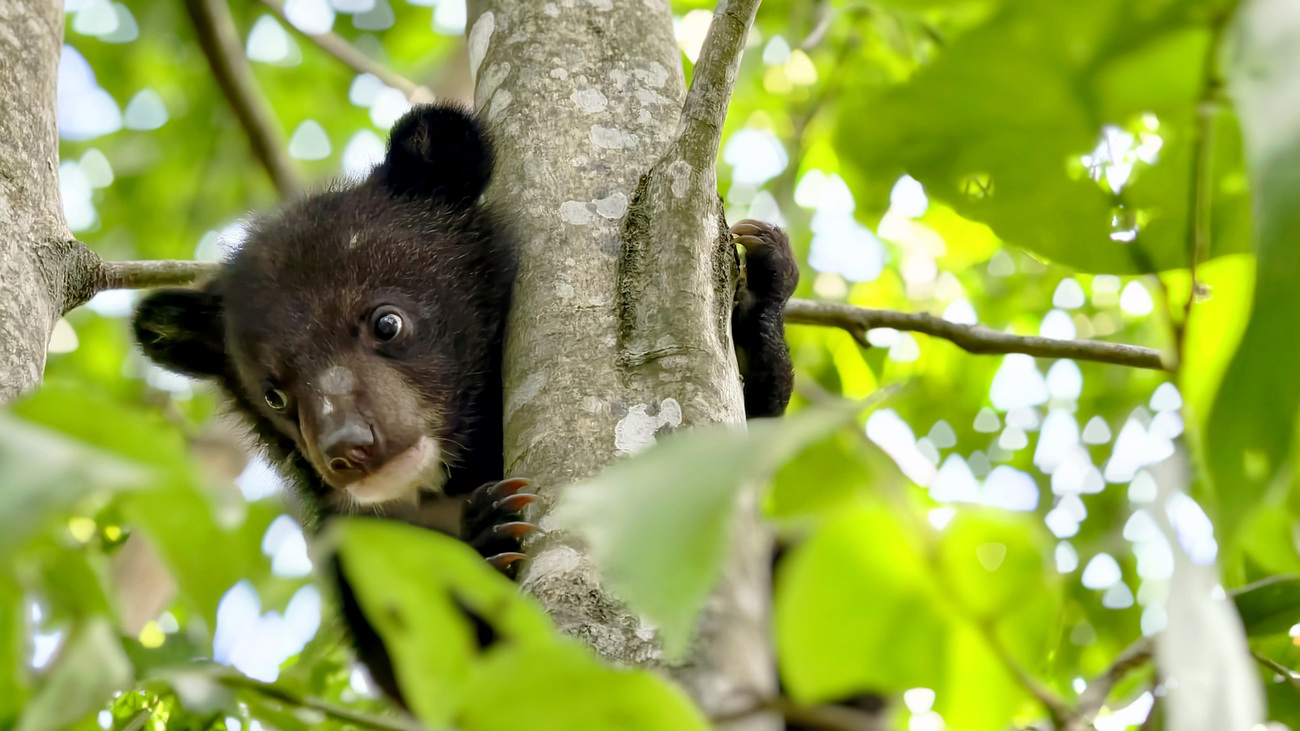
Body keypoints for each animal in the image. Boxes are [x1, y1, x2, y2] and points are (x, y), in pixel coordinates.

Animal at [131, 102, 799, 705]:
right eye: (274, 392)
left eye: (387, 322)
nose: (348, 448)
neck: (449, 479)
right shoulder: (353, 547)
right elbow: (436, 676)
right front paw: (490, 529)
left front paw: (761, 291)